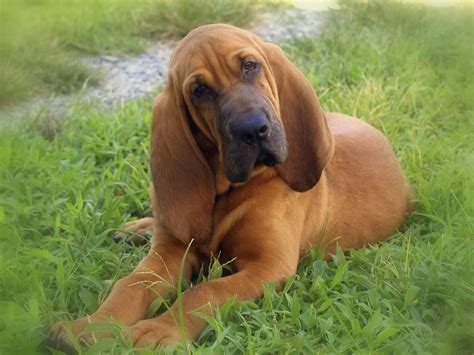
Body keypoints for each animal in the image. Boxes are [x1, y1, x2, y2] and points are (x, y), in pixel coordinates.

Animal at [49, 23, 414, 352]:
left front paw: (156, 330)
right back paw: (137, 228)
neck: (228, 189)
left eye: (250, 66)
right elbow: (131, 284)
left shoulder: (268, 267)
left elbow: (204, 292)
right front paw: (90, 327)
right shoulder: (169, 253)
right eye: (199, 91)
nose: (253, 129)